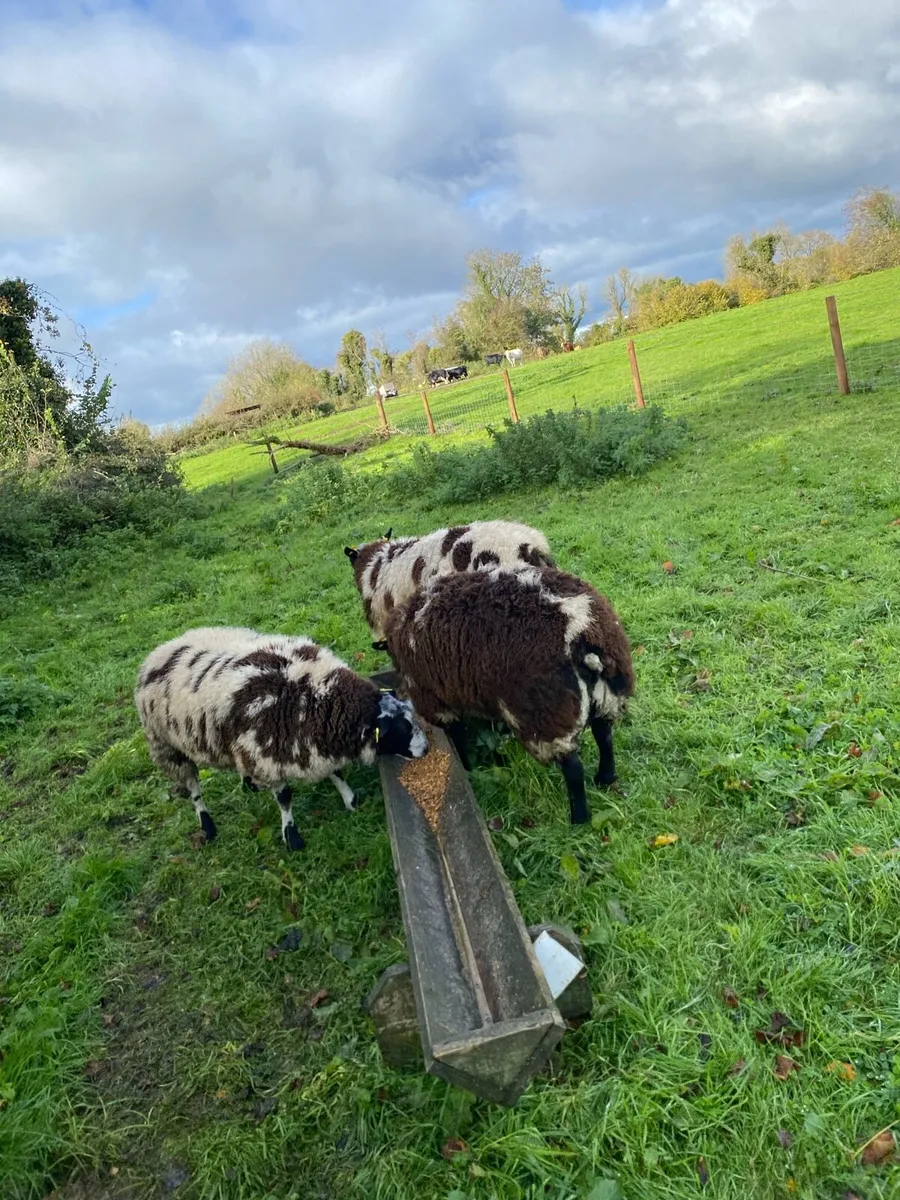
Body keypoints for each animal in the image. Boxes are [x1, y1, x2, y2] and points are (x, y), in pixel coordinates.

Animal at [135, 626, 428, 850]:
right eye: (402, 729)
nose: (425, 750)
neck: (317, 698)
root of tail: (161, 650)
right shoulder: (267, 757)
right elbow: (285, 798)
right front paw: (292, 837)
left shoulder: (310, 743)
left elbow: (336, 773)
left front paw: (351, 800)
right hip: (168, 745)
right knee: (193, 788)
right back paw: (207, 825)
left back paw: (247, 784)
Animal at [383, 566, 635, 825]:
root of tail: (583, 630)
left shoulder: (436, 703)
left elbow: (458, 738)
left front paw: (467, 768)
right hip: (607, 698)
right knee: (604, 736)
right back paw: (605, 778)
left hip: (546, 716)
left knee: (573, 768)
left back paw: (579, 818)